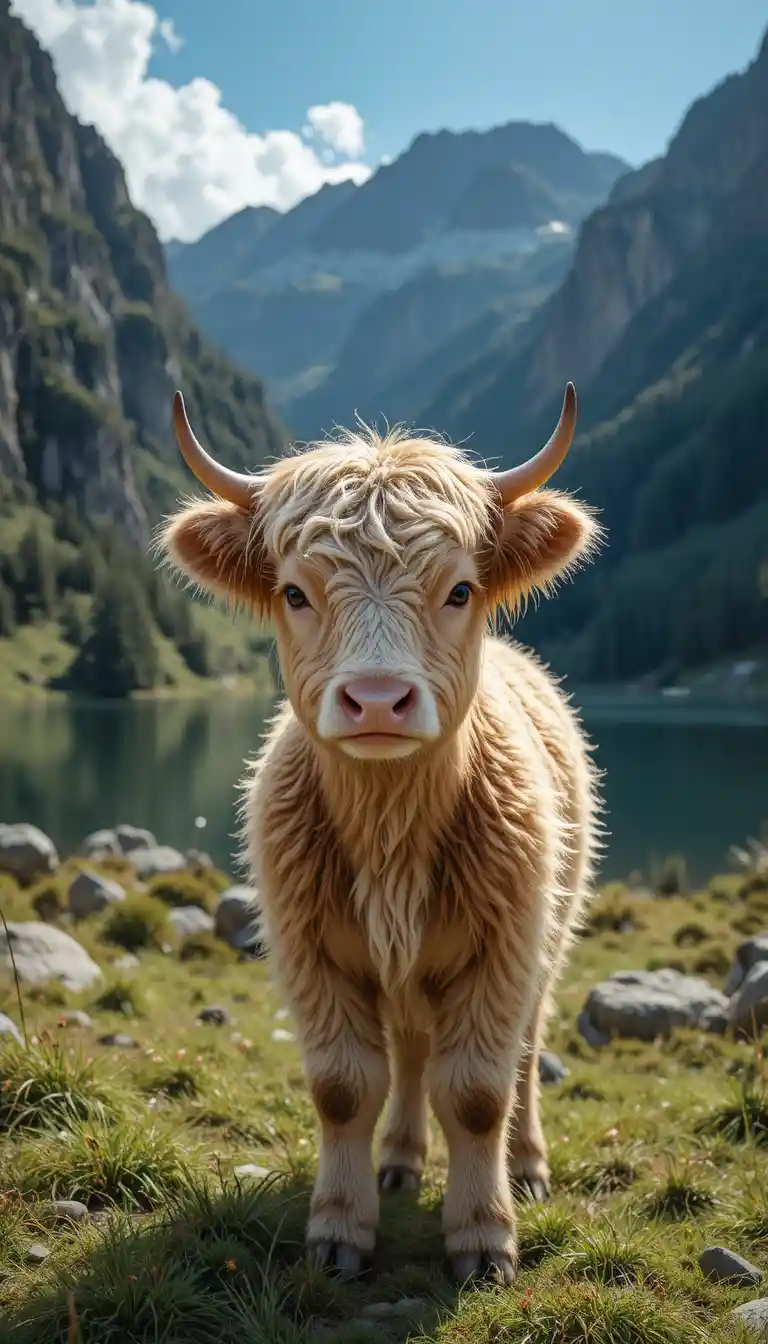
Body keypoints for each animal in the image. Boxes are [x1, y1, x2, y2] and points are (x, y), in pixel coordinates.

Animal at [160, 384, 603, 1287]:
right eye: (295, 593)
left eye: (460, 590)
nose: (375, 700)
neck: (391, 829)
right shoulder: (311, 950)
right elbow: (343, 1087)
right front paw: (340, 1228)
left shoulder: (503, 950)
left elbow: (477, 1093)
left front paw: (484, 1237)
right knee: (408, 1052)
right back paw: (398, 1158)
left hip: (547, 941)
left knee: (525, 1053)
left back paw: (527, 1164)